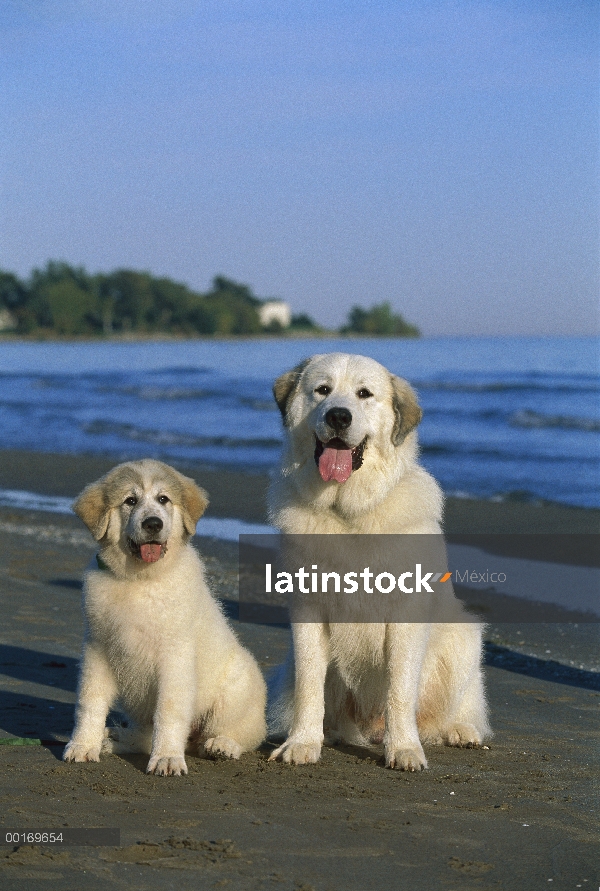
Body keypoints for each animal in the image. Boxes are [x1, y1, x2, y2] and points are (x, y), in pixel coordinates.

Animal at [62, 460, 264, 772]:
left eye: (163, 499)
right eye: (130, 501)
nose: (153, 524)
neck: (140, 580)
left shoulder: (174, 656)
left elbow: (169, 710)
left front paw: (167, 758)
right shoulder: (98, 649)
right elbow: (90, 701)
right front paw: (83, 745)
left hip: (237, 687)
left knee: (242, 733)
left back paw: (222, 745)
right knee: (145, 735)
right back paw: (115, 738)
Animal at [270, 356, 490, 772]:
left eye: (364, 394)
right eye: (322, 390)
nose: (339, 416)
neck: (349, 515)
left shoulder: (405, 616)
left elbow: (399, 689)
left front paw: (403, 749)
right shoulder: (308, 611)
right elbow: (309, 685)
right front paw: (302, 743)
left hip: (463, 635)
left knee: (457, 707)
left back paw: (460, 730)